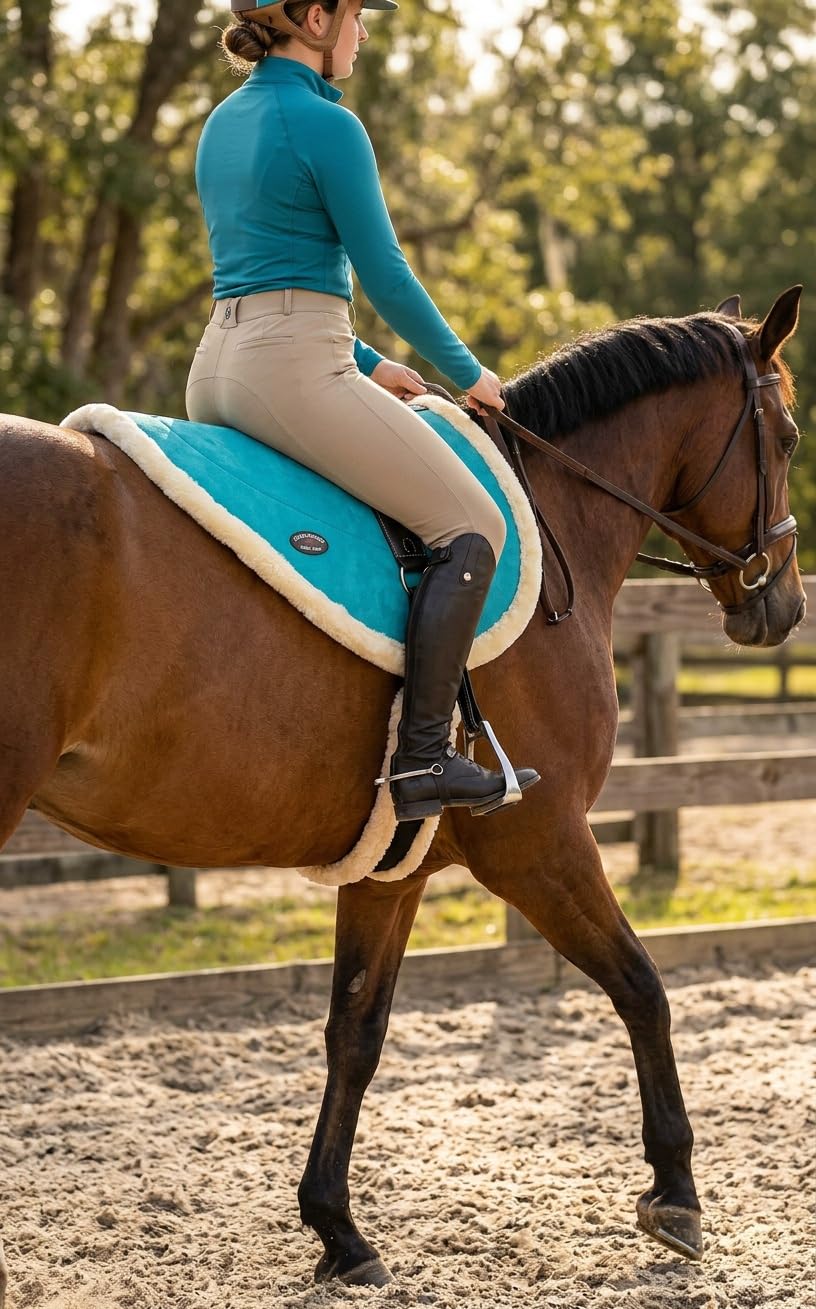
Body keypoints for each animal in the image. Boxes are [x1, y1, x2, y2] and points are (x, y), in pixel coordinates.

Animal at [0, 286, 804, 1294]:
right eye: (789, 436)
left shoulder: (393, 865)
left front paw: (338, 1231)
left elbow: (356, 1031)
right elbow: (643, 985)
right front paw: (677, 1195)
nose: (784, 607)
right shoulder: (541, 843)